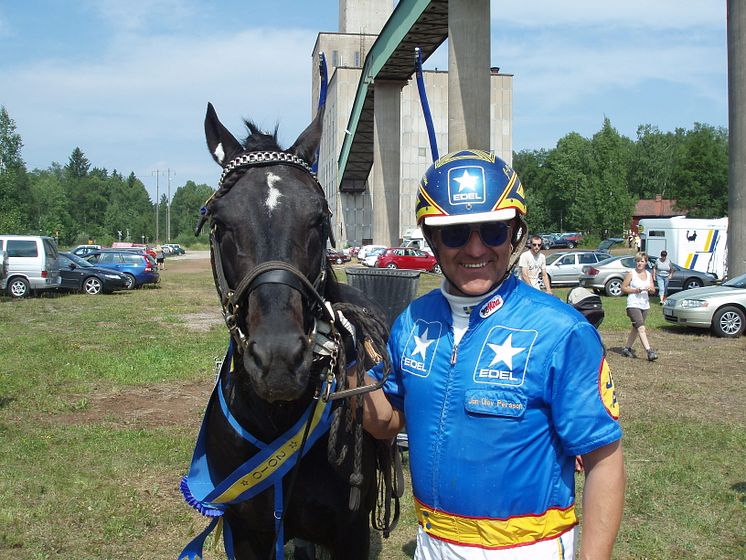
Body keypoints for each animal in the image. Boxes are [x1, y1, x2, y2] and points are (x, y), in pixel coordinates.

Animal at [179, 101, 396, 560]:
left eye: (319, 217)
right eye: (220, 222)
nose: (278, 359)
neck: (276, 419)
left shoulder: (349, 533)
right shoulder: (245, 534)